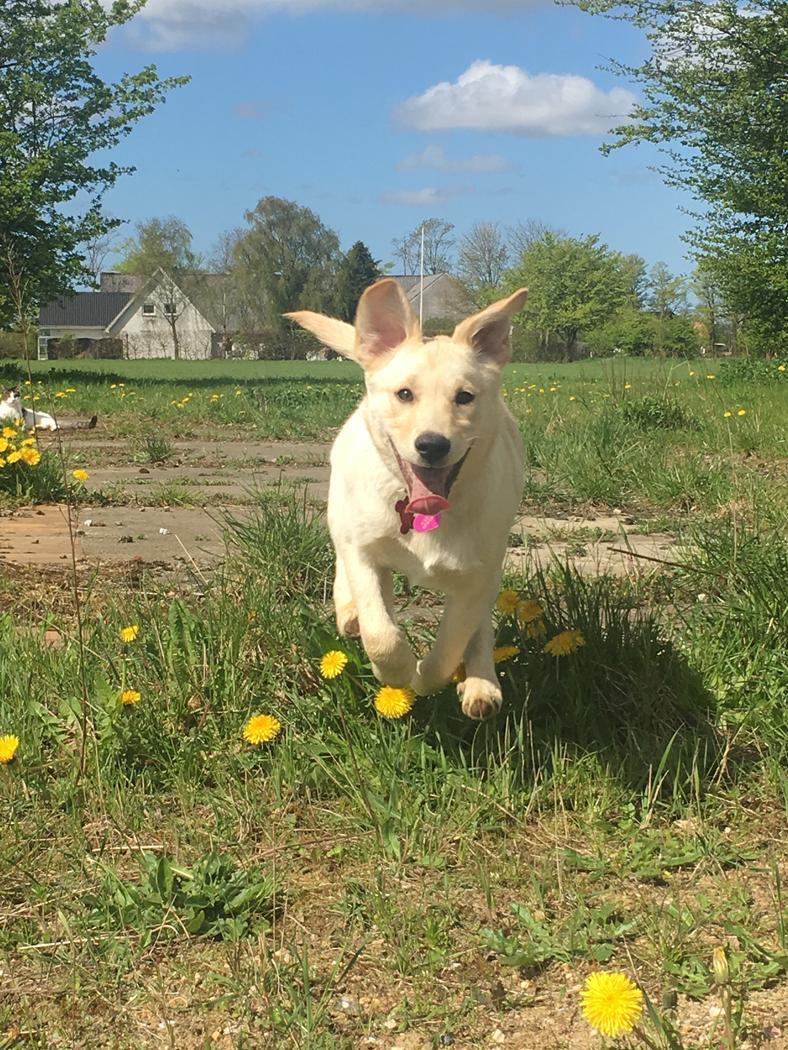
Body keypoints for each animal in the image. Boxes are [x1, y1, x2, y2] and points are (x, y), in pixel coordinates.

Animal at [287, 279, 527, 722]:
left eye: (465, 397)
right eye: (404, 394)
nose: (432, 445)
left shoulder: (475, 577)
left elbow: (450, 647)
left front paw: (425, 679)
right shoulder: (365, 552)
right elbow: (380, 632)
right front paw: (395, 672)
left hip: (493, 564)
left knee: (480, 629)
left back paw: (481, 684)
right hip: (342, 515)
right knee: (344, 568)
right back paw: (349, 613)